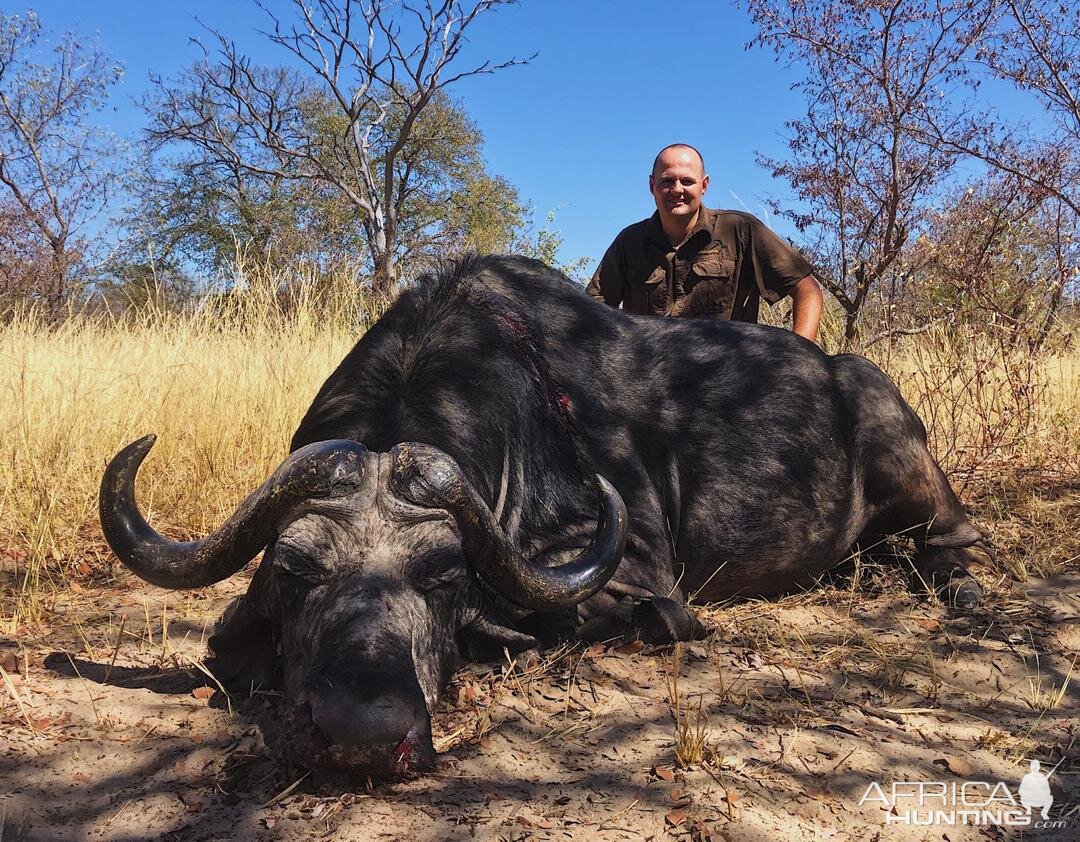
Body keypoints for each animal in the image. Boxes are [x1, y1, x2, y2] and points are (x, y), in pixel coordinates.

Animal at [99, 254, 989, 777]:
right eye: (293, 572)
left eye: (444, 577)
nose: (361, 734)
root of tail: (845, 374)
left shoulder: (642, 584)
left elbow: (568, 623)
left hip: (909, 464)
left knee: (953, 541)